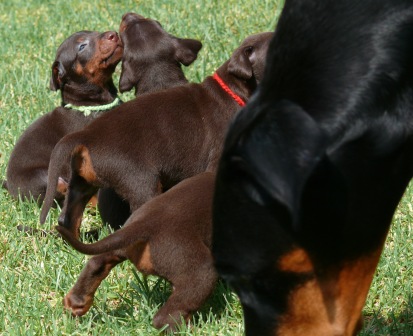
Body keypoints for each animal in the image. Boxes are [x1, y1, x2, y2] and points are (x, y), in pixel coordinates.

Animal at [4, 30, 122, 205]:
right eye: (82, 46)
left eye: (95, 32)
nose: (113, 34)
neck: (89, 105)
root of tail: (9, 187)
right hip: (45, 178)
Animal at [56, 172, 217, 332]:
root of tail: (142, 224)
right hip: (200, 271)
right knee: (164, 318)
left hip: (118, 245)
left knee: (96, 263)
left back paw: (77, 302)